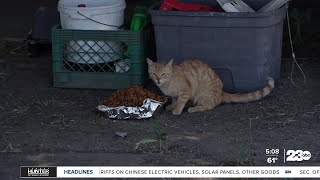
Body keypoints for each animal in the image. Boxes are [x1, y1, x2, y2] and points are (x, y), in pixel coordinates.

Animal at [146, 58, 274, 116]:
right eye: (154, 74)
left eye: (163, 74)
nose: (158, 80)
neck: (168, 83)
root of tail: (222, 92)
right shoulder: (174, 95)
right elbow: (174, 100)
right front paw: (172, 106)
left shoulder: (186, 91)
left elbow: (180, 102)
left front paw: (177, 110)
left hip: (202, 96)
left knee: (208, 106)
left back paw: (193, 108)